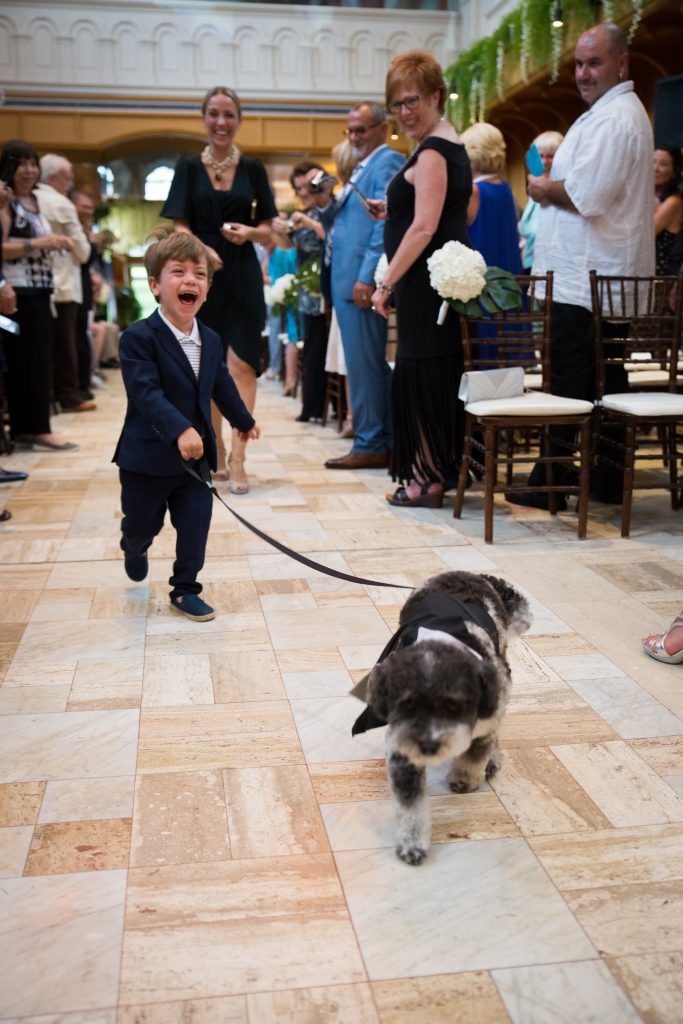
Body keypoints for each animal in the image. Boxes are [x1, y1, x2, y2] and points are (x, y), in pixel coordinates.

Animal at [350, 569, 532, 864]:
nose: (427, 745)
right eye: (406, 705)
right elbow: (411, 804)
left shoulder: (487, 716)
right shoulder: (402, 748)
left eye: (453, 706)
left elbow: (474, 755)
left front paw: (465, 779)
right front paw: (412, 844)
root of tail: (471, 574)